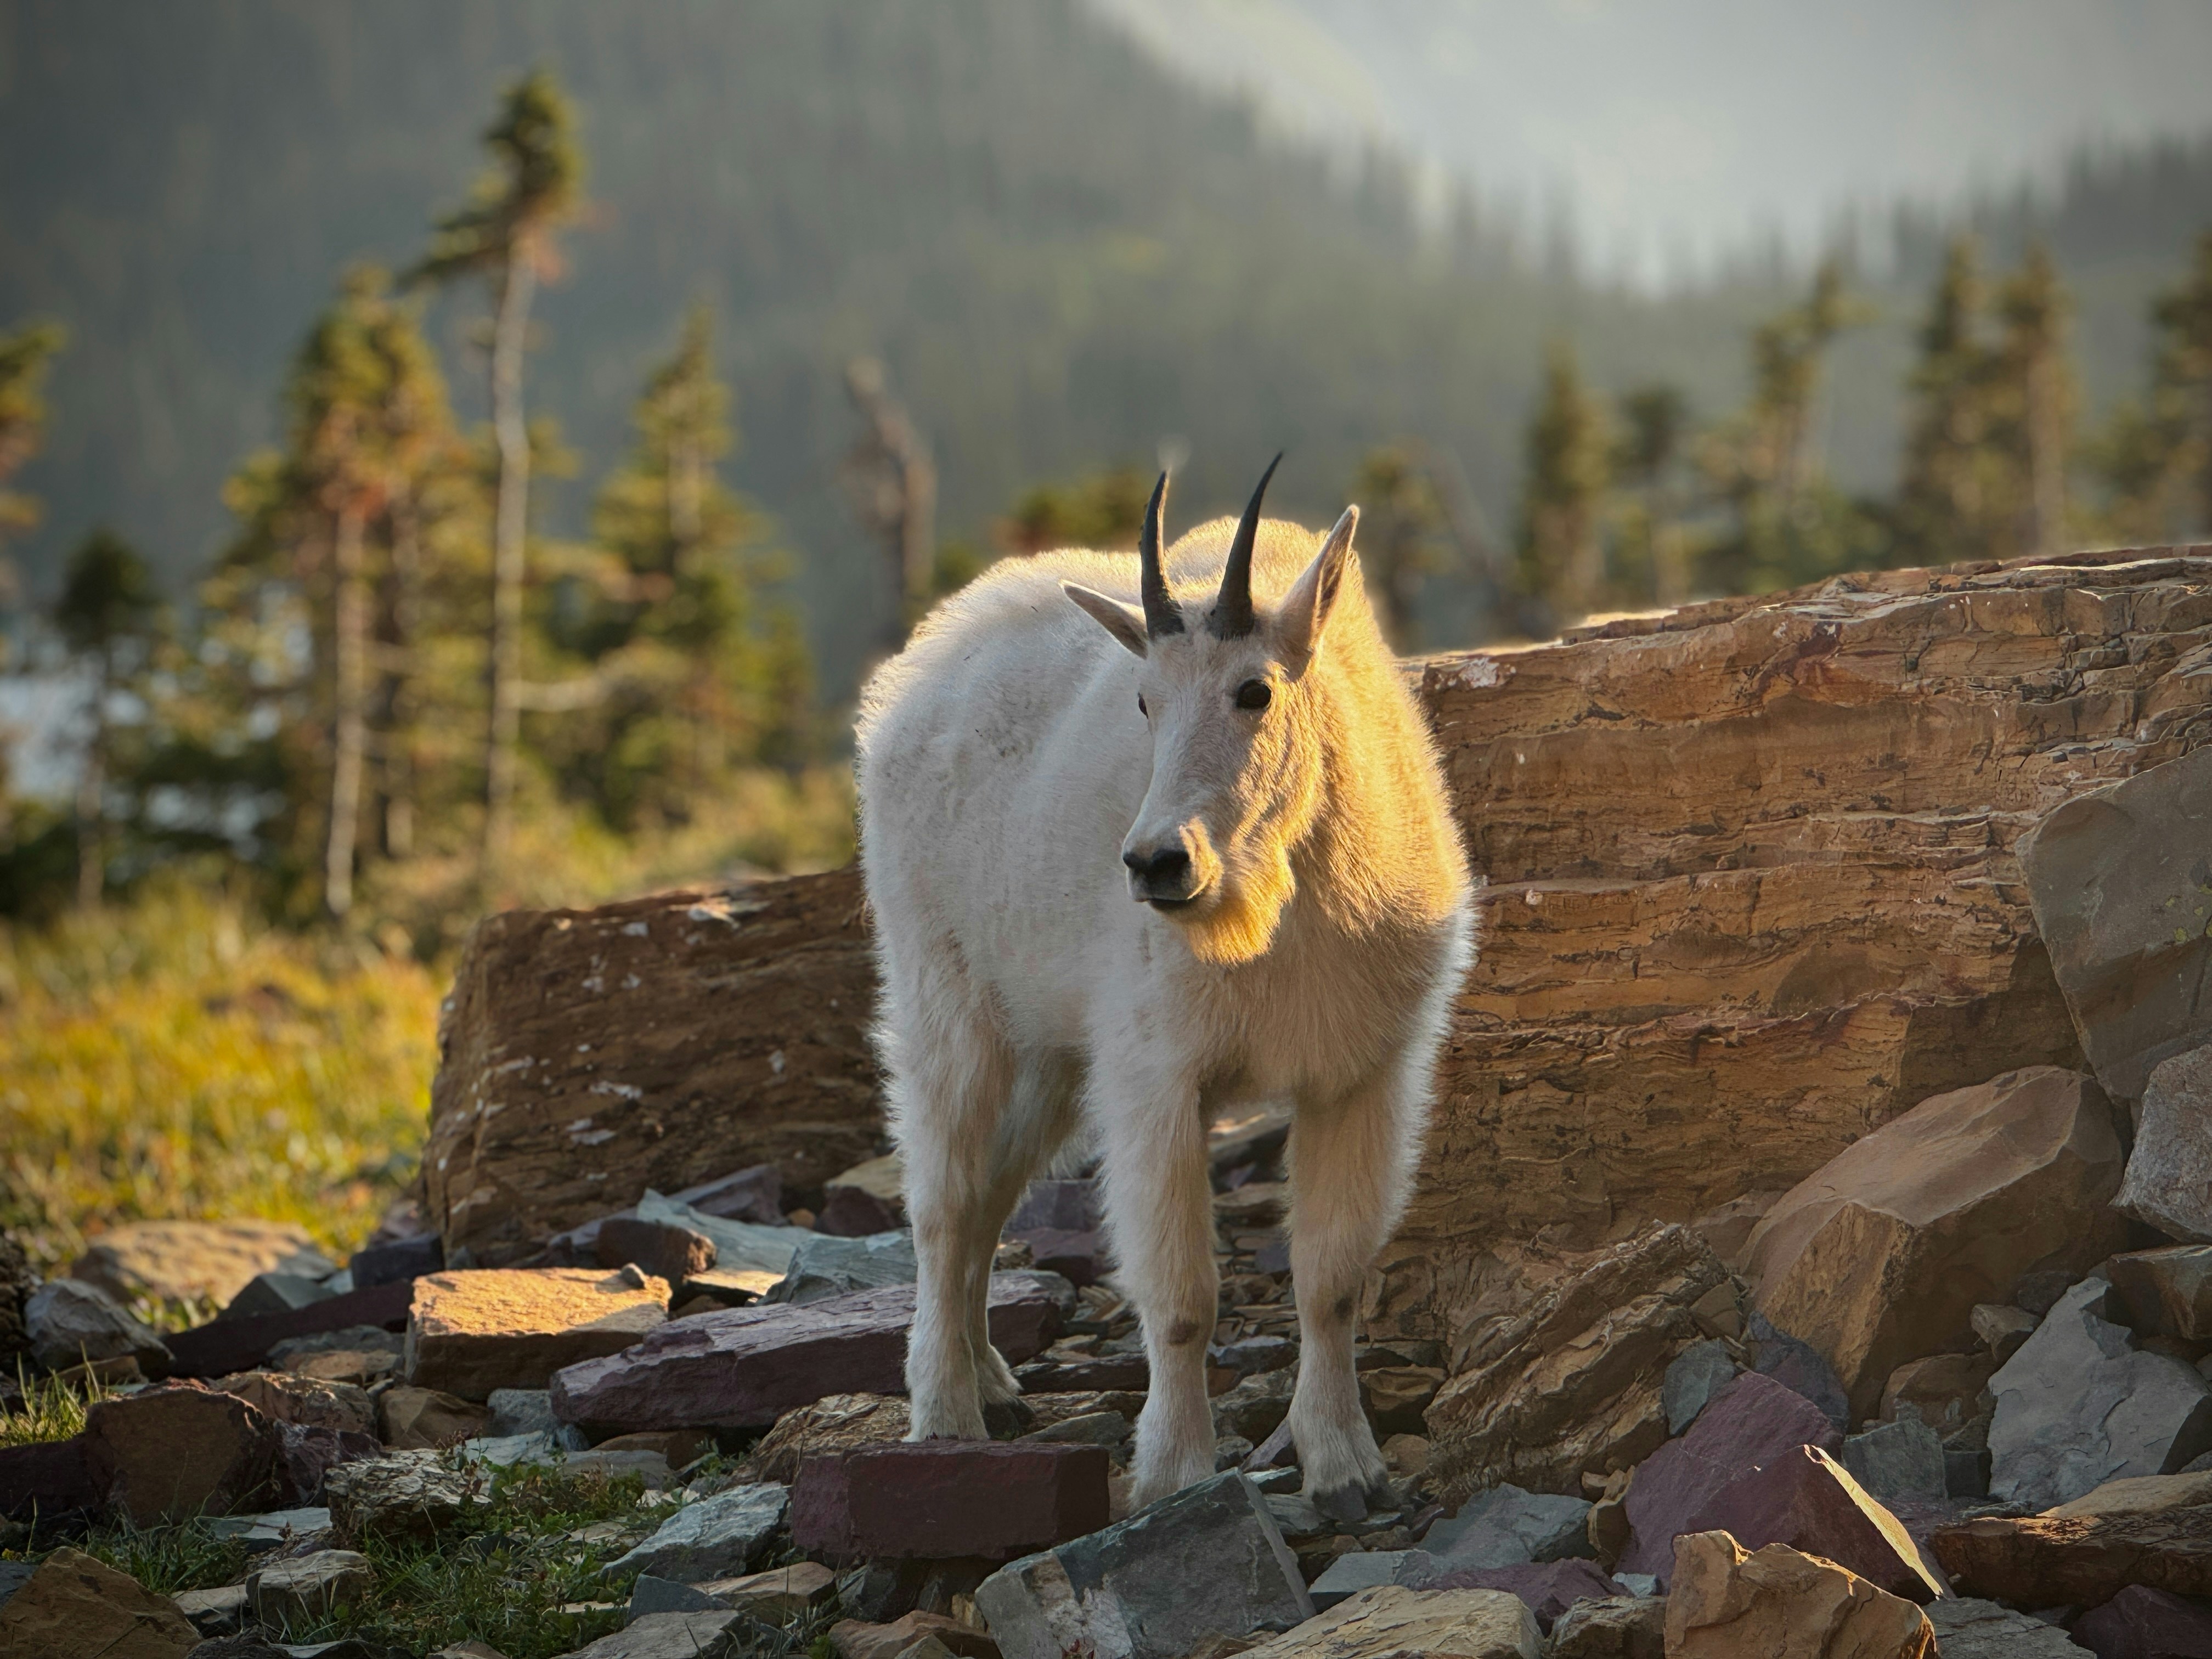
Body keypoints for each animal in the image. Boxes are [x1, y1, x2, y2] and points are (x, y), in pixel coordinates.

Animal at [855, 459, 1475, 1517]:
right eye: (1142, 701)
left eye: (1254, 689)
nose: (1156, 864)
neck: (1283, 910)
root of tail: (911, 682)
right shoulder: (1158, 1075)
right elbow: (1183, 1296)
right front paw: (1175, 1472)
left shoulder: (1361, 1075)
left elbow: (1331, 1278)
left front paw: (1345, 1466)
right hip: (945, 995)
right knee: (943, 1199)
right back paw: (944, 1410)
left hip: (1053, 1053)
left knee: (991, 1191)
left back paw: (993, 1379)